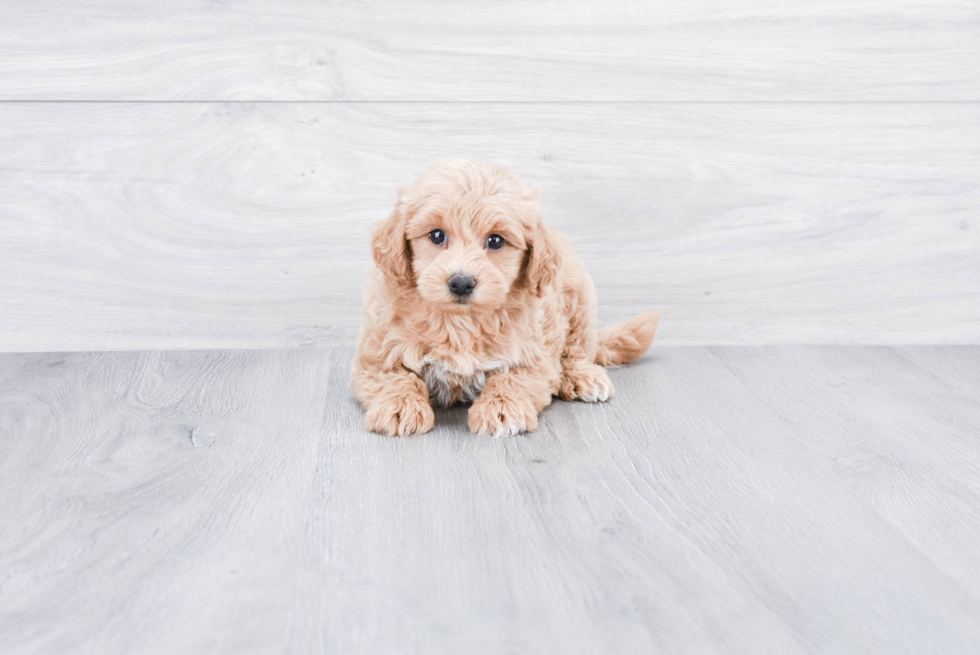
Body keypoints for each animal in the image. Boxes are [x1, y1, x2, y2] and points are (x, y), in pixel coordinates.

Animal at [348, 160, 664, 438]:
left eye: (496, 241)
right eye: (436, 235)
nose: (461, 282)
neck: (461, 322)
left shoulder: (535, 356)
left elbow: (511, 378)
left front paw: (500, 409)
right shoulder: (376, 352)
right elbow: (395, 377)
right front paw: (399, 406)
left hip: (579, 296)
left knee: (579, 348)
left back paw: (582, 376)